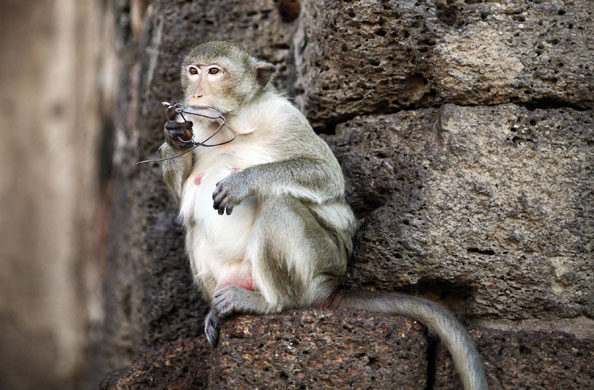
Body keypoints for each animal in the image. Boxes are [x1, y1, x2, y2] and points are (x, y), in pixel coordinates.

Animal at [158, 41, 486, 388]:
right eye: (193, 71)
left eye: (214, 72)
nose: (197, 94)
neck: (230, 123)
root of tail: (331, 288)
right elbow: (179, 193)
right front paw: (174, 137)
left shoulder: (285, 118)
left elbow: (326, 175)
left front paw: (244, 181)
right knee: (194, 228)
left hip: (318, 268)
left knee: (280, 206)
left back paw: (270, 302)